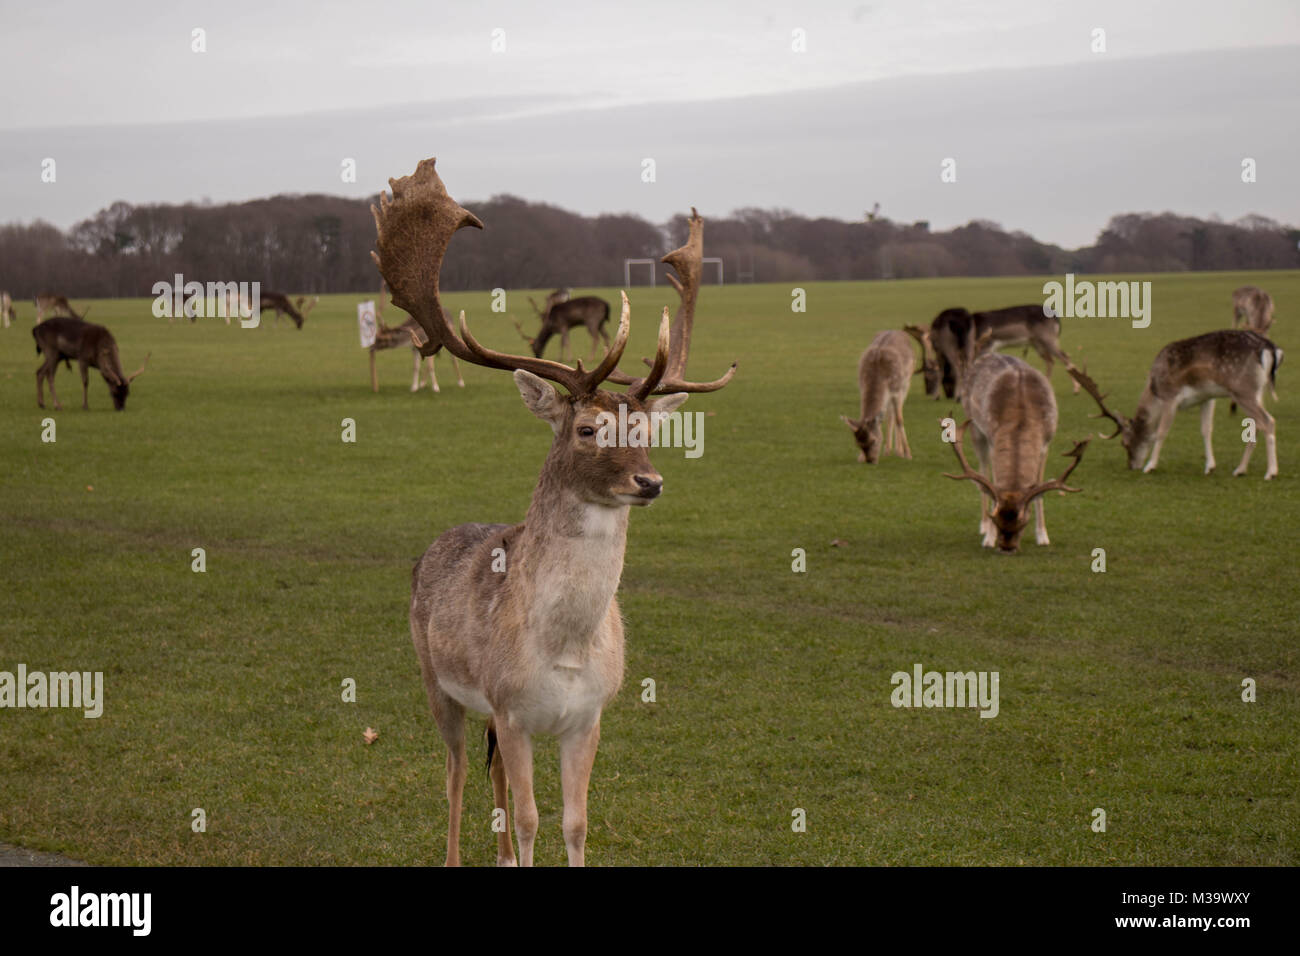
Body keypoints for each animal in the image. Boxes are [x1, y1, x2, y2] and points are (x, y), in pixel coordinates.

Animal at [371, 159, 735, 867]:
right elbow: (532, 818)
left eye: (647, 430)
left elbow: (574, 822)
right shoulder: (512, 709)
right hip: (435, 679)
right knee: (457, 771)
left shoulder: (588, 717)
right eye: (588, 429)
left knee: (489, 779)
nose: (650, 482)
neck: (564, 649)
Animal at [841, 329, 918, 462]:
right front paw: (860, 457)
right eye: (857, 443)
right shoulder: (862, 386)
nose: (870, 460)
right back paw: (888, 451)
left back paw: (899, 451)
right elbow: (883, 418)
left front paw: (908, 454)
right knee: (889, 415)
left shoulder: (897, 390)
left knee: (896, 414)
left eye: (873, 441)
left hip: (906, 382)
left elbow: (899, 419)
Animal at [924, 305, 1074, 400]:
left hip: (1048, 339)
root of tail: (1057, 318)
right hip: (1038, 343)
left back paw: (1075, 389)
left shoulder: (985, 347)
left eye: (927, 378)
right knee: (1051, 360)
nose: (928, 392)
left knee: (1065, 357)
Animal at [944, 351, 1089, 553]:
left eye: (1023, 523)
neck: (1022, 415)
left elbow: (1039, 489)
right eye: (996, 520)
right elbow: (993, 484)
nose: (1006, 548)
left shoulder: (1046, 443)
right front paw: (989, 538)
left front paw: (1043, 537)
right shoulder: (992, 439)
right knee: (982, 475)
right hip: (974, 427)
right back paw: (982, 526)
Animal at [1068, 329, 1281, 480]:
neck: (1154, 389)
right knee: (1256, 425)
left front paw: (1150, 466)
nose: (1131, 466)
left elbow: (1161, 432)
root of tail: (1270, 348)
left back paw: (1271, 472)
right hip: (1256, 391)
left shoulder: (1170, 397)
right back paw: (1240, 469)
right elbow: (1206, 430)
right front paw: (1210, 467)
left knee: (1268, 421)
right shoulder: (1207, 397)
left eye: (1124, 443)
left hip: (1242, 390)